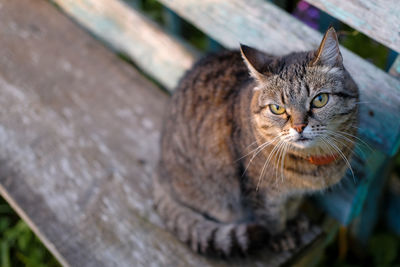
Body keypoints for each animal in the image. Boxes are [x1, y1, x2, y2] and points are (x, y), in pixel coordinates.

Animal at [153, 27, 360, 258]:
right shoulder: (260, 192)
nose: (299, 127)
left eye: (320, 100)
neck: (311, 163)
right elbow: (271, 218)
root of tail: (159, 169)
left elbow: (293, 206)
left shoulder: (295, 194)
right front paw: (280, 236)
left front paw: (294, 221)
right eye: (277, 108)